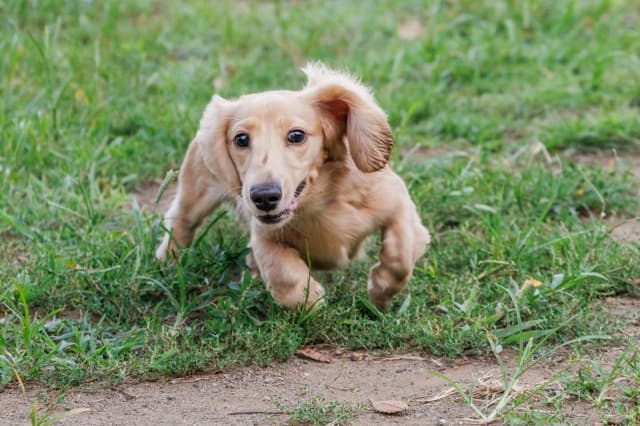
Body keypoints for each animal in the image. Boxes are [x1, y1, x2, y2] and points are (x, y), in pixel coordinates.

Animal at [156, 62, 430, 310]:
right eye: (241, 139)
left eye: (296, 135)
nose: (264, 197)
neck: (321, 203)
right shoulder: (264, 235)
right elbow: (283, 274)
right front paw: (309, 300)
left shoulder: (398, 204)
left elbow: (400, 255)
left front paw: (380, 293)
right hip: (195, 191)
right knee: (181, 221)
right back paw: (168, 259)